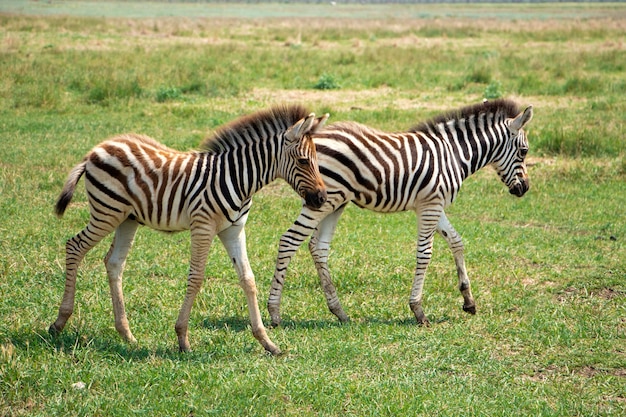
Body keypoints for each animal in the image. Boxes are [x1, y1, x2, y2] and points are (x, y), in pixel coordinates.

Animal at [51, 105, 330, 354]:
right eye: (303, 161)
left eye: (317, 160)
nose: (322, 199)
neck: (239, 179)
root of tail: (97, 149)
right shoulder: (203, 226)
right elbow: (196, 278)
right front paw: (182, 339)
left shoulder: (234, 229)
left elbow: (248, 280)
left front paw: (267, 342)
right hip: (107, 212)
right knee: (74, 246)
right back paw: (59, 322)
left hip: (127, 218)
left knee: (114, 262)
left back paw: (126, 334)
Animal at [266, 99, 532, 326]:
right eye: (524, 151)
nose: (525, 189)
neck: (454, 155)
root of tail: (311, 137)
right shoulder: (430, 205)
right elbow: (425, 254)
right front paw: (418, 310)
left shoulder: (434, 204)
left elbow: (456, 242)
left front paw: (468, 300)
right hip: (324, 199)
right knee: (289, 240)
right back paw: (274, 312)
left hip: (334, 201)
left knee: (318, 247)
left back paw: (339, 311)